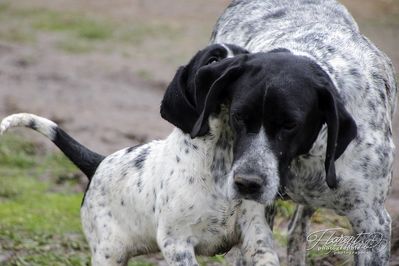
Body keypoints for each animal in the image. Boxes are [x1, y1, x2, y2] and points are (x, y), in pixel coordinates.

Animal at [0, 44, 282, 266]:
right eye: (214, 60)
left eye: (248, 57)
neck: (219, 154)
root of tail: (99, 163)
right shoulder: (176, 243)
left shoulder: (255, 234)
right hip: (109, 252)